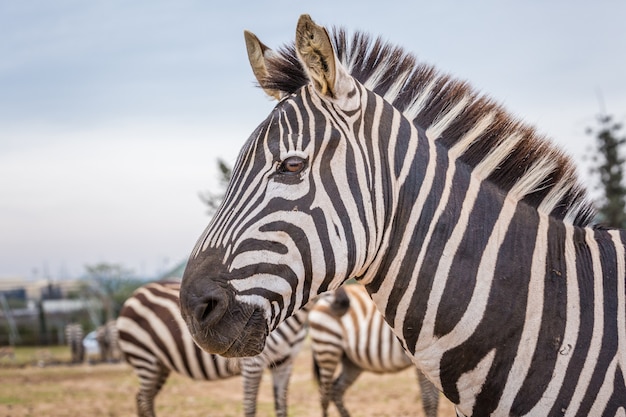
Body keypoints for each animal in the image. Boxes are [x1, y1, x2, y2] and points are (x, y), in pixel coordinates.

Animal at [117, 280, 308, 416]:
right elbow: (250, 407)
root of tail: (136, 294)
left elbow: (282, 408)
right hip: (144, 357)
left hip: (159, 363)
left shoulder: (285, 363)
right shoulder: (253, 364)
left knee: (142, 398)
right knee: (145, 400)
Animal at [308, 284, 438, 416]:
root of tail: (318, 302)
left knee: (336, 390)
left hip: (351, 363)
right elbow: (429, 400)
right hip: (328, 347)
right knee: (324, 395)